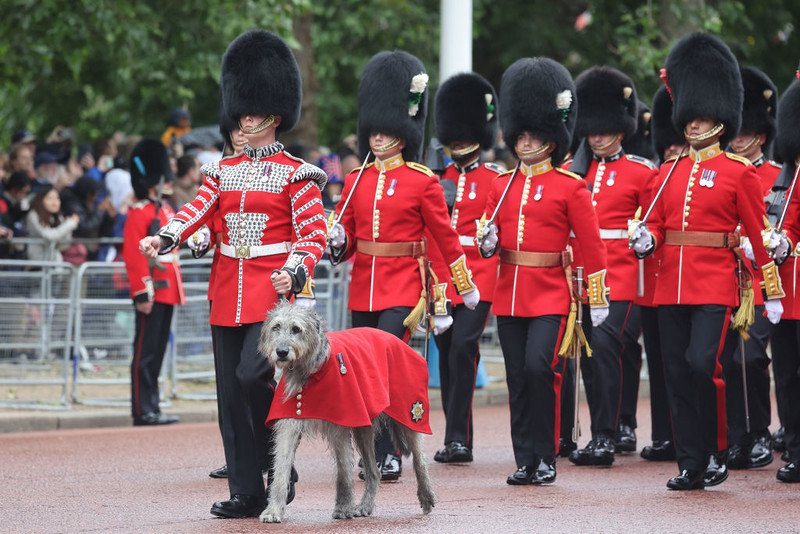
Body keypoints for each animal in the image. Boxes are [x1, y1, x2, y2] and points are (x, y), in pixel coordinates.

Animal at [256, 304, 434, 524]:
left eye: (296, 329)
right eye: (276, 327)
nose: (281, 352)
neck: (310, 372)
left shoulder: (340, 421)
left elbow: (343, 470)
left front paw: (343, 507)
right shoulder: (290, 424)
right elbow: (281, 467)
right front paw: (273, 510)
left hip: (408, 414)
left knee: (419, 459)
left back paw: (426, 496)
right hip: (364, 426)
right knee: (374, 471)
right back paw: (365, 506)